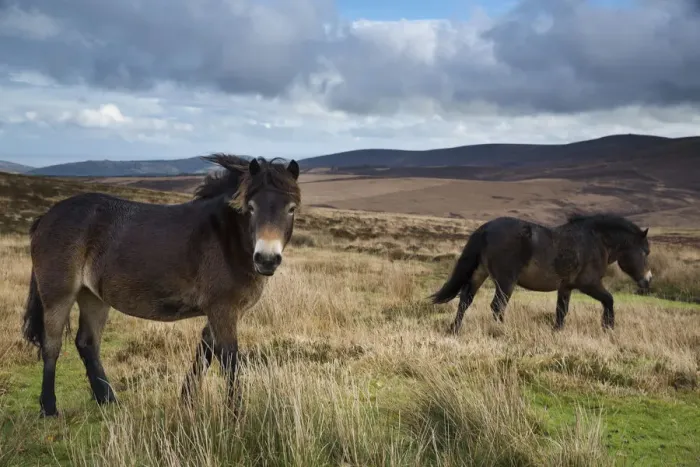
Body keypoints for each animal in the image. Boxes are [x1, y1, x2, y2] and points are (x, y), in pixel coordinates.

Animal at [22, 155, 301, 417]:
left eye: (291, 209)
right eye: (251, 207)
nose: (266, 259)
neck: (227, 238)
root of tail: (46, 216)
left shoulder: (223, 311)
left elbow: (205, 350)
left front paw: (187, 398)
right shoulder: (223, 309)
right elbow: (229, 360)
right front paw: (236, 414)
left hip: (93, 296)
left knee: (87, 343)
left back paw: (108, 400)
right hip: (58, 294)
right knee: (52, 344)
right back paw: (49, 408)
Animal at [430, 213, 652, 334]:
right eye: (645, 252)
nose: (648, 280)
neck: (596, 241)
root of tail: (485, 229)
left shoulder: (566, 287)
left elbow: (561, 312)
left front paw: (557, 332)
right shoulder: (589, 284)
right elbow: (609, 300)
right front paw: (608, 328)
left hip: (479, 274)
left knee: (465, 301)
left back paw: (454, 329)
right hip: (505, 281)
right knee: (497, 307)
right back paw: (503, 331)